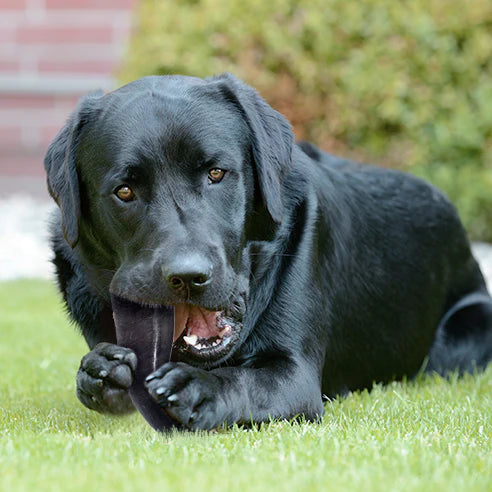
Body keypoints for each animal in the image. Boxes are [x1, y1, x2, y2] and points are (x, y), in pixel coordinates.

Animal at [45, 74, 492, 430]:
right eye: (124, 191)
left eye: (216, 173)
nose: (188, 277)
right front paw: (102, 373)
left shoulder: (294, 376)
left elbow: (243, 380)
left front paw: (197, 389)